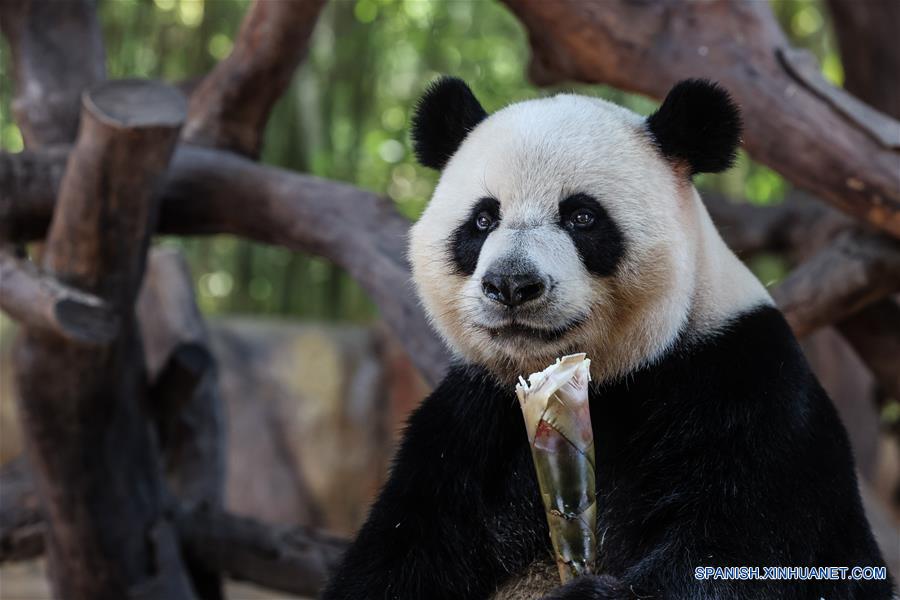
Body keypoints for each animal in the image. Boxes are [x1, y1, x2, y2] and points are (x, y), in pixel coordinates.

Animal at [322, 78, 894, 599]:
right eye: (483, 220)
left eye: (581, 216)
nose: (511, 285)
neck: (610, 378)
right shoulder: (469, 427)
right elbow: (398, 550)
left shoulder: (745, 384)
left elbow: (747, 555)